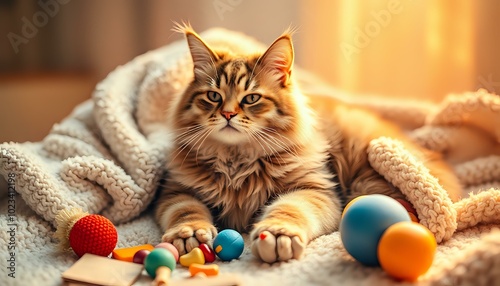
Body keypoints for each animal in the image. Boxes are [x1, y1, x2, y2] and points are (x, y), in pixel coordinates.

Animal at [155, 25, 460, 262]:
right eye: (214, 96)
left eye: (251, 98)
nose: (228, 114)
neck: (236, 160)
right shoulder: (175, 191)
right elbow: (186, 211)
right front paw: (190, 234)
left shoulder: (313, 189)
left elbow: (289, 209)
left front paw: (277, 234)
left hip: (366, 180)